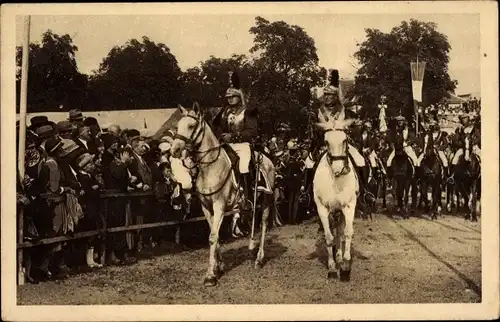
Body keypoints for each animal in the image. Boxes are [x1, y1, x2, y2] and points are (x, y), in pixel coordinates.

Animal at [170, 103, 276, 286]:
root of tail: (269, 160)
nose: (175, 150)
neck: (210, 167)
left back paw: (259, 259)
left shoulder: (219, 206)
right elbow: (215, 235)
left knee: (263, 224)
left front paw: (210, 275)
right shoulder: (207, 207)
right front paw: (218, 267)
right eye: (177, 126)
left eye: (191, 126)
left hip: (266, 200)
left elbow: (213, 237)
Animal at [312, 117, 360, 280]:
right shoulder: (322, 209)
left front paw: (345, 266)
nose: (339, 169)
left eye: (345, 140)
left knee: (340, 232)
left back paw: (340, 257)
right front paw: (332, 268)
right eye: (326, 142)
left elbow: (347, 233)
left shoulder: (349, 206)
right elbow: (329, 237)